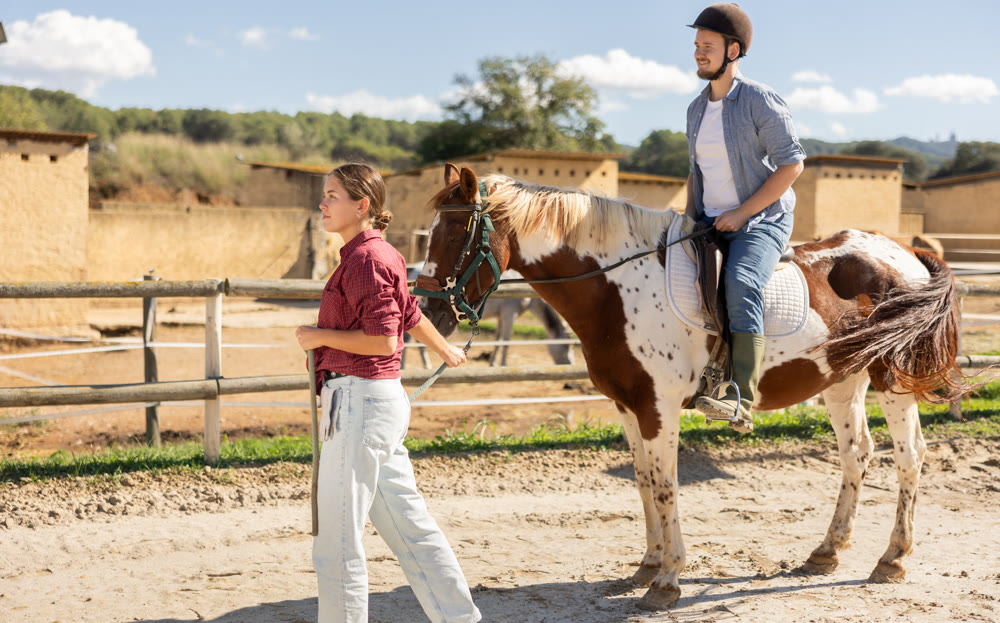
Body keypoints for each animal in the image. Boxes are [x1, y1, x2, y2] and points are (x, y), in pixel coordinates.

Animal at [415, 164, 967, 610]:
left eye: (457, 231)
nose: (427, 312)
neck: (618, 289)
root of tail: (907, 252)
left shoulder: (658, 408)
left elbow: (665, 487)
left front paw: (667, 581)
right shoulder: (628, 406)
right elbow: (643, 483)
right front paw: (646, 565)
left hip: (891, 379)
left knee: (910, 456)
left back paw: (892, 559)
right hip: (842, 380)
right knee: (857, 455)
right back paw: (826, 552)